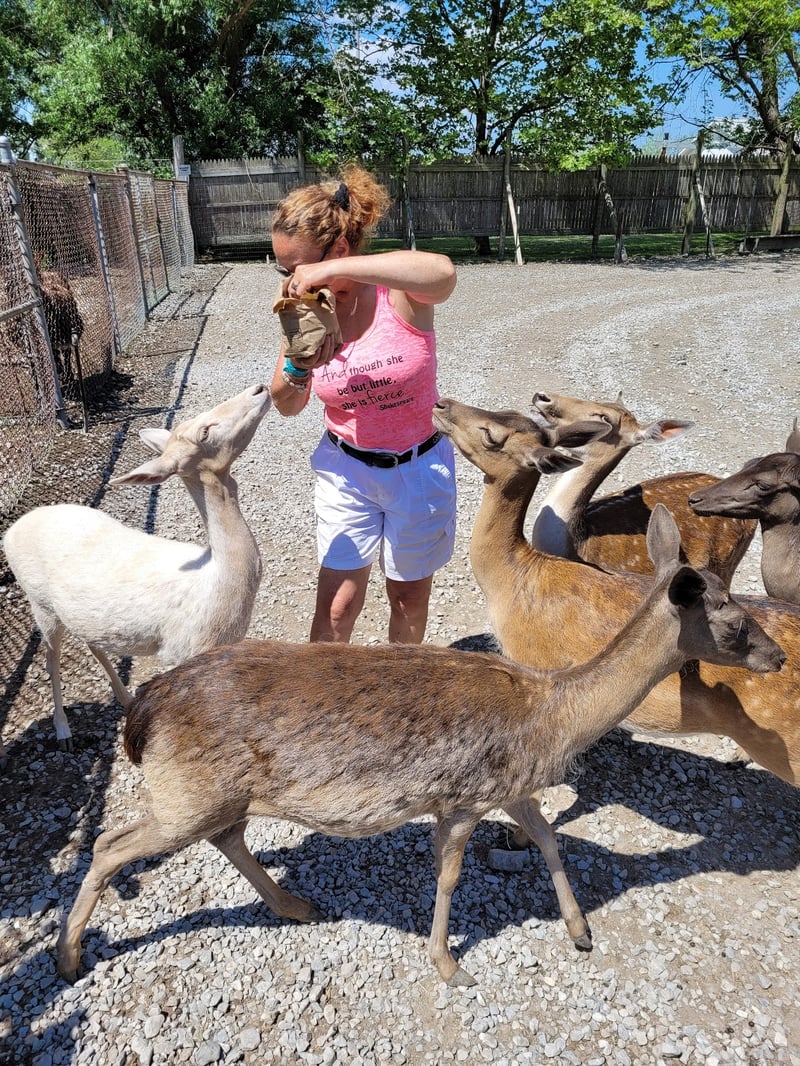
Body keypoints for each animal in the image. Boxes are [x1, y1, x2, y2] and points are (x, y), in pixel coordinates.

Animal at [2, 383, 271, 752]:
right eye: (205, 432)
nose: (259, 389)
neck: (217, 579)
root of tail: (12, 530)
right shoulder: (183, 650)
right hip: (40, 604)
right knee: (50, 657)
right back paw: (63, 731)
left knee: (93, 642)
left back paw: (126, 698)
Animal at [55, 504, 783, 988]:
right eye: (736, 622)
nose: (776, 656)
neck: (552, 718)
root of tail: (143, 711)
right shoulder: (462, 796)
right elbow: (450, 873)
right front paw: (449, 963)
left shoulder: (510, 789)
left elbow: (548, 839)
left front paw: (580, 933)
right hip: (187, 792)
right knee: (111, 843)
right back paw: (67, 957)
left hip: (216, 793)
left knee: (224, 837)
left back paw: (294, 905)